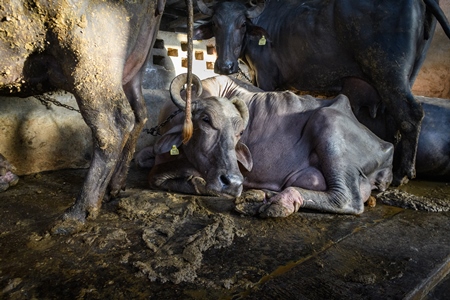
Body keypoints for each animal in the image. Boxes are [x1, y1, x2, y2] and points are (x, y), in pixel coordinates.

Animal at [0, 0, 165, 232]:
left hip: (90, 56)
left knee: (114, 124)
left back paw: (73, 217)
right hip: (135, 61)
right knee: (139, 113)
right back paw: (114, 189)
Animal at [137, 74, 394, 216]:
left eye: (241, 131)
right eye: (206, 120)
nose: (234, 182)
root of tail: (386, 148)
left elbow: (156, 176)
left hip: (328, 122)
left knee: (346, 198)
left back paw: (279, 202)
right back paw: (260, 197)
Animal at [194, 0, 450, 188]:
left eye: (242, 25)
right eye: (215, 24)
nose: (225, 66)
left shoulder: (266, 76)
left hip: (389, 72)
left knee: (411, 115)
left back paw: (402, 174)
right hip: (406, 75)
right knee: (397, 120)